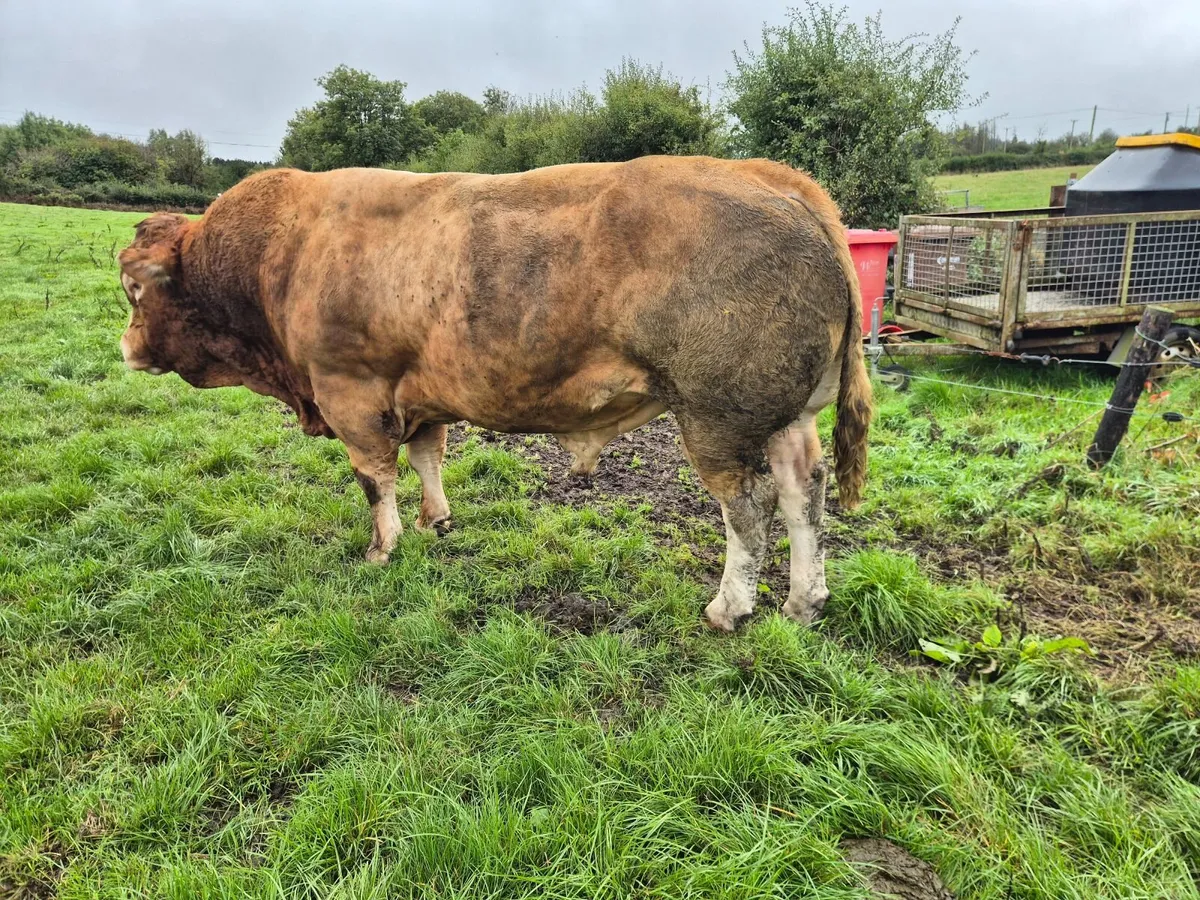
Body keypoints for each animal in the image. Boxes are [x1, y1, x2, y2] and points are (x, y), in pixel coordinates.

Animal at [117, 156, 871, 632]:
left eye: (133, 288)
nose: (124, 348)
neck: (282, 252)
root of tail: (772, 179)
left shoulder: (350, 393)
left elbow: (374, 479)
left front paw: (383, 547)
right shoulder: (418, 397)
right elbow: (427, 456)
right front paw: (436, 521)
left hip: (716, 418)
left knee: (749, 507)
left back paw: (729, 608)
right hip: (787, 416)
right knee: (804, 493)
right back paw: (804, 602)